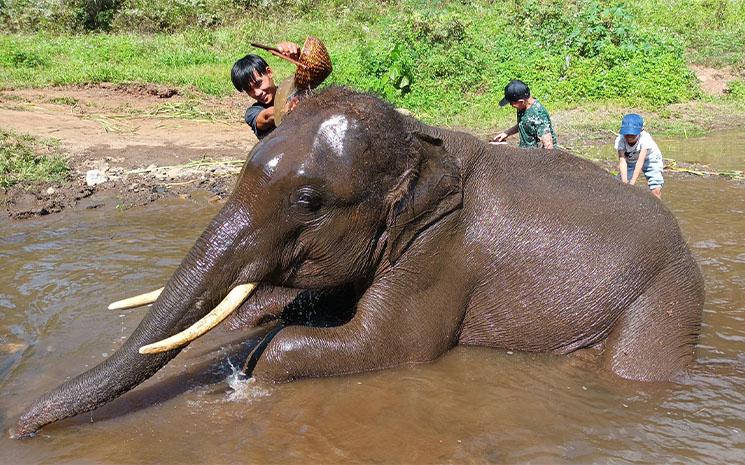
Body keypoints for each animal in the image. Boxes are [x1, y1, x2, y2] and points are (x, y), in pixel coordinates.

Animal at [12, 86, 704, 438]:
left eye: (308, 201)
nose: (19, 426)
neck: (419, 140)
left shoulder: (439, 250)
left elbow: (388, 346)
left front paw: (251, 370)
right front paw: (250, 329)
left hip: (665, 294)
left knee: (636, 369)